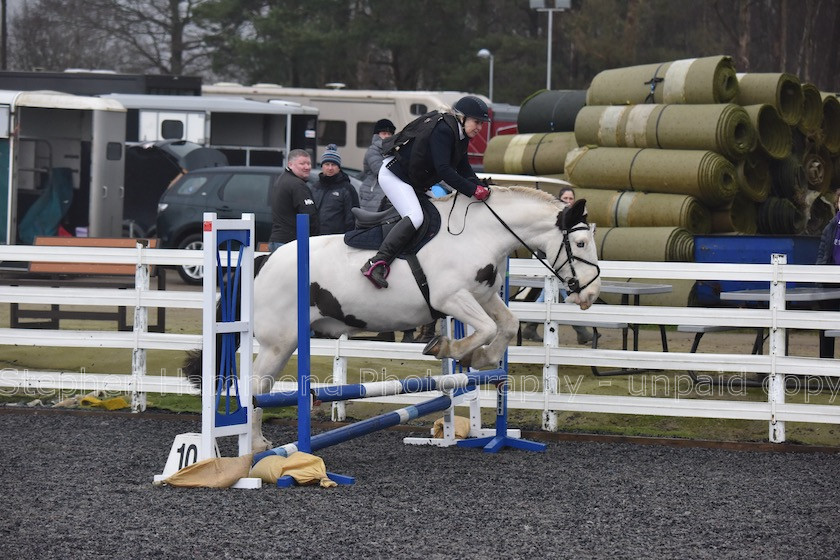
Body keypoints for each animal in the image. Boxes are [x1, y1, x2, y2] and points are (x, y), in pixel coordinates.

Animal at [187, 187, 600, 450]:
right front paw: (450, 348)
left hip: (284, 343)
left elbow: (506, 325)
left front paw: (482, 358)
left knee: (262, 386)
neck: (480, 234)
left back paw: (257, 444)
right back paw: (256, 448)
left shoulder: (481, 296)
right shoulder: (451, 298)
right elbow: (482, 329)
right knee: (254, 385)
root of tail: (262, 260)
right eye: (580, 244)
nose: (591, 295)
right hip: (280, 342)